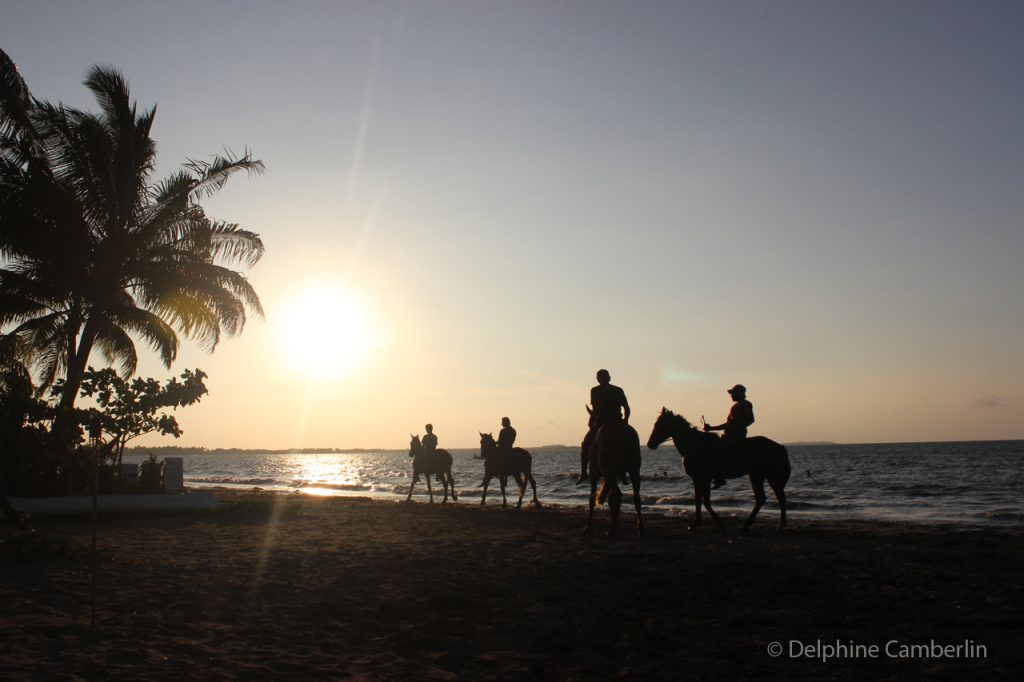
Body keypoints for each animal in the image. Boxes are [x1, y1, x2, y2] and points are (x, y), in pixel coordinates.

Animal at [647, 405, 790, 528]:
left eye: (659, 425)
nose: (650, 444)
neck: (694, 444)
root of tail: (779, 446)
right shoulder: (700, 478)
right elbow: (701, 500)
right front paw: (701, 523)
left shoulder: (702, 478)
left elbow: (704, 501)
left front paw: (713, 523)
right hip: (756, 475)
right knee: (762, 498)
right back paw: (747, 526)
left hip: (770, 475)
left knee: (780, 497)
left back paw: (780, 527)